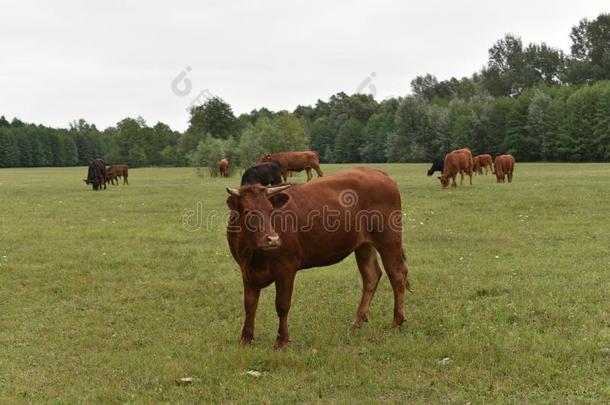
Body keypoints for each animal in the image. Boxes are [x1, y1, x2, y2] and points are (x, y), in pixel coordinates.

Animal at [227, 166, 408, 348]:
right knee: (371, 276)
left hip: (389, 240)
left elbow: (282, 305)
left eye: (271, 210)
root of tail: (376, 172)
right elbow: (249, 305)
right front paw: (245, 338)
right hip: (363, 245)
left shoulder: (285, 268)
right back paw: (357, 322)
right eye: (248, 212)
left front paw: (282, 340)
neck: (252, 254)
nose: (273, 239)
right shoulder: (246, 271)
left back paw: (397, 322)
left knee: (397, 276)